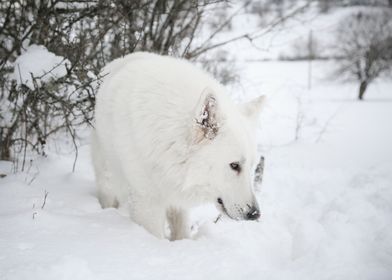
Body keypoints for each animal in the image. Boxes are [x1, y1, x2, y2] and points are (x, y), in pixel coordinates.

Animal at [91, 53, 264, 241]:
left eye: (252, 167)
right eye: (234, 165)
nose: (255, 214)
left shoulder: (179, 196)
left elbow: (182, 231)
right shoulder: (147, 204)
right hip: (108, 177)